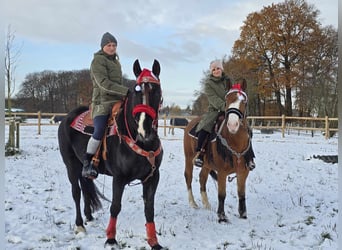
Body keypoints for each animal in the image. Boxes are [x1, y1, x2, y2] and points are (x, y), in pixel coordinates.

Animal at [58, 59, 165, 249]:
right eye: (136, 91)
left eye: (157, 90)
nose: (144, 130)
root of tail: (66, 119)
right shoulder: (119, 178)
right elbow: (115, 207)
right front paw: (110, 239)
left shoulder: (152, 177)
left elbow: (149, 209)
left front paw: (154, 241)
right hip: (71, 165)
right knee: (76, 192)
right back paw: (79, 225)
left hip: (83, 166)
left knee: (85, 188)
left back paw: (89, 216)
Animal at [183, 79, 252, 222]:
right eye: (227, 100)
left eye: (244, 101)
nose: (232, 124)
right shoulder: (222, 173)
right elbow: (222, 194)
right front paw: (221, 216)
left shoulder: (243, 172)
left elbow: (241, 194)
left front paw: (243, 214)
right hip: (188, 158)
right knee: (188, 177)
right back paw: (193, 203)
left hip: (207, 165)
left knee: (202, 178)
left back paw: (206, 203)